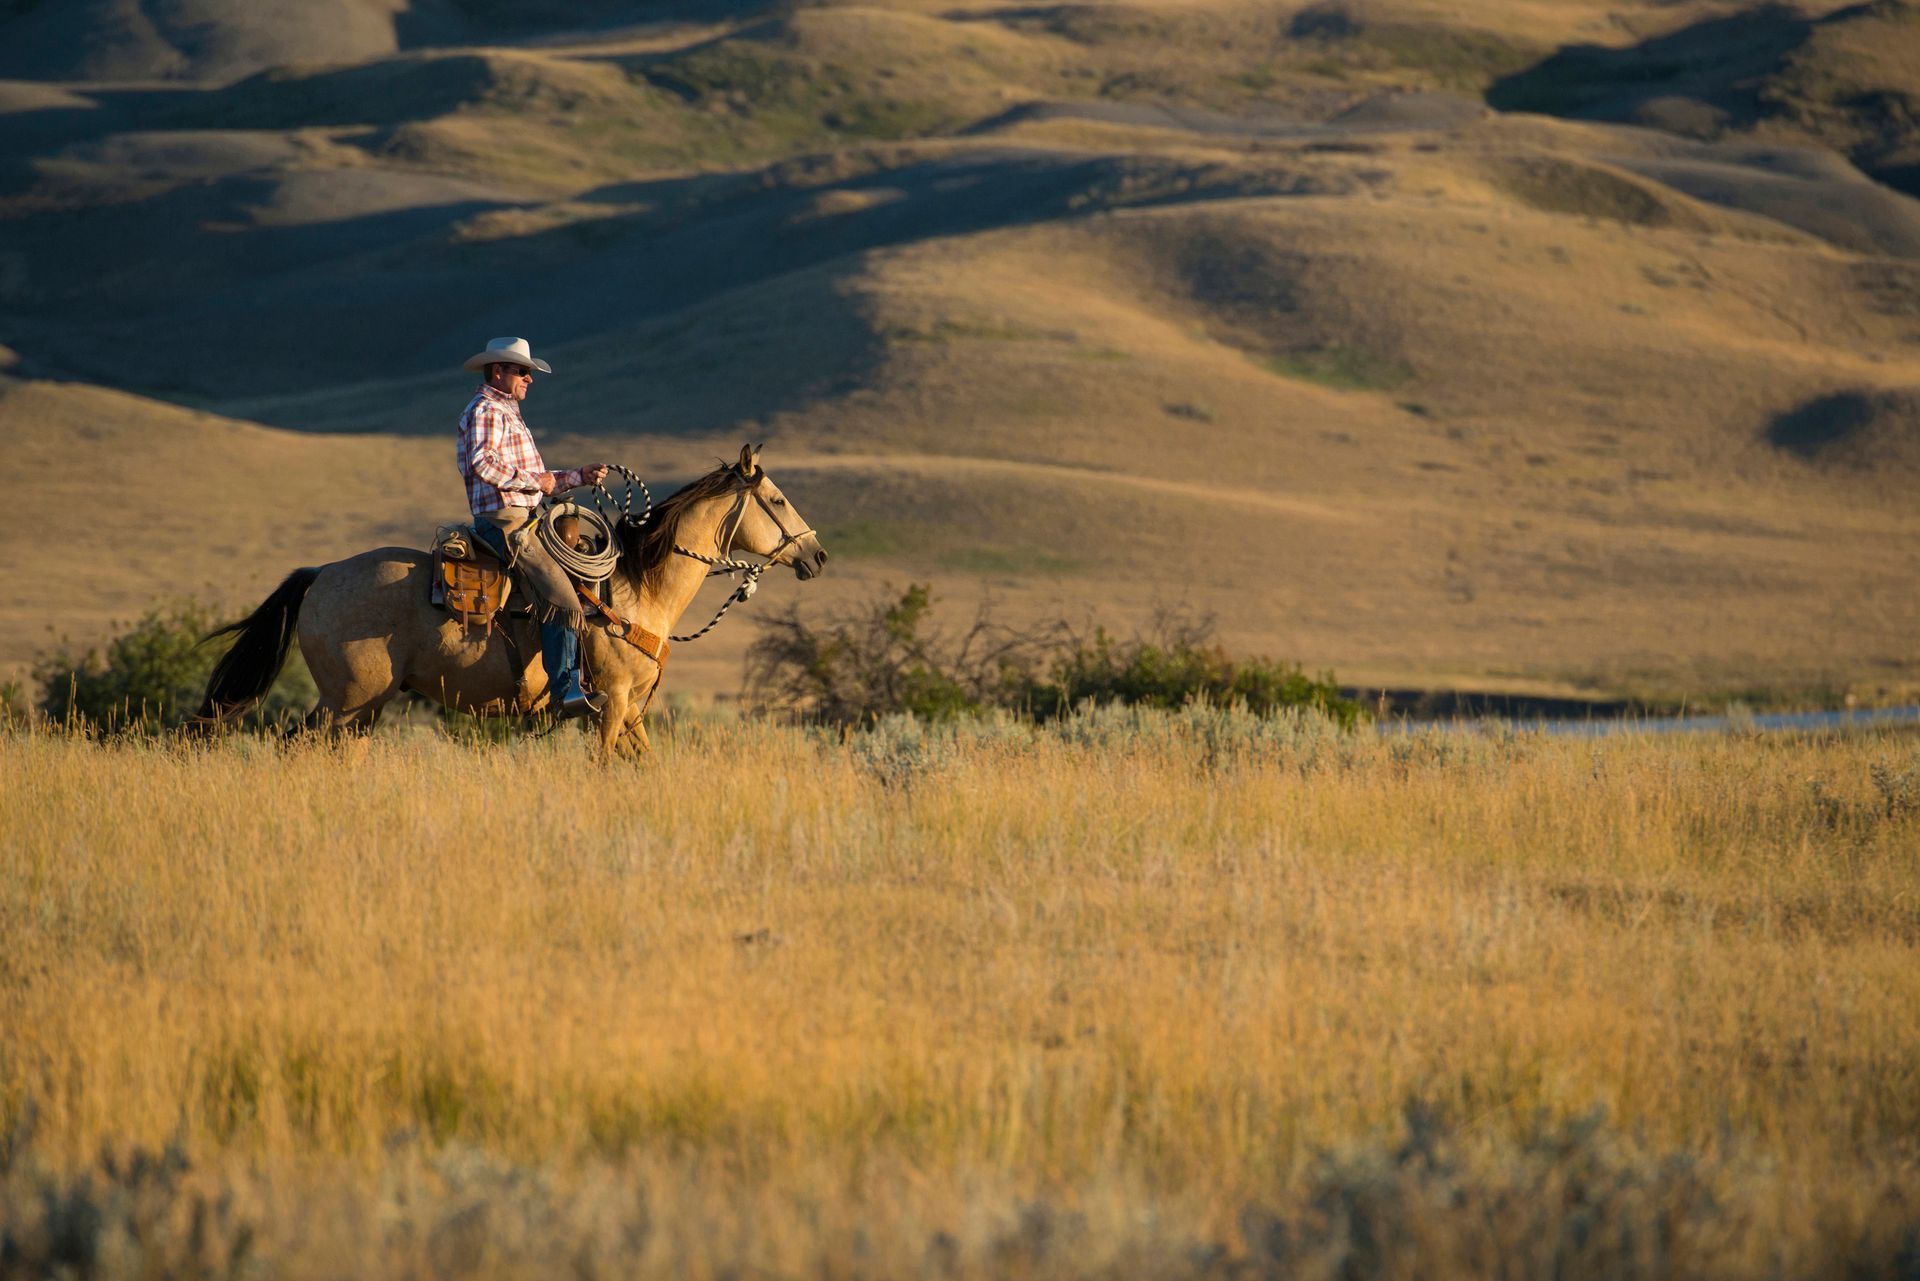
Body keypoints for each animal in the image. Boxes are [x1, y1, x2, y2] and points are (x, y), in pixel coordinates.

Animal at [197, 445, 828, 756]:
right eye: (777, 498)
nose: (817, 555)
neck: (637, 589)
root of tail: (323, 573)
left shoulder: (631, 710)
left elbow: (647, 765)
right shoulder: (612, 703)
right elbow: (603, 766)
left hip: (360, 707)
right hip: (350, 699)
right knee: (297, 747)